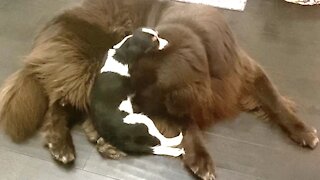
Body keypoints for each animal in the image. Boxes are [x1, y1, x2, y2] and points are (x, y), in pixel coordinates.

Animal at [90, 27, 185, 156]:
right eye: (154, 40)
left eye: (157, 35)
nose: (167, 43)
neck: (120, 54)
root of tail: (120, 140)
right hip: (143, 121)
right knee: (160, 141)